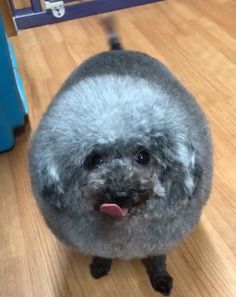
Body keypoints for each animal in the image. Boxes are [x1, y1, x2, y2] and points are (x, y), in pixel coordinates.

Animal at [28, 15, 213, 294]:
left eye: (143, 156)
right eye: (94, 160)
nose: (121, 194)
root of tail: (117, 50)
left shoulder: (160, 240)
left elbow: (157, 260)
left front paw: (160, 279)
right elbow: (102, 254)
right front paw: (100, 266)